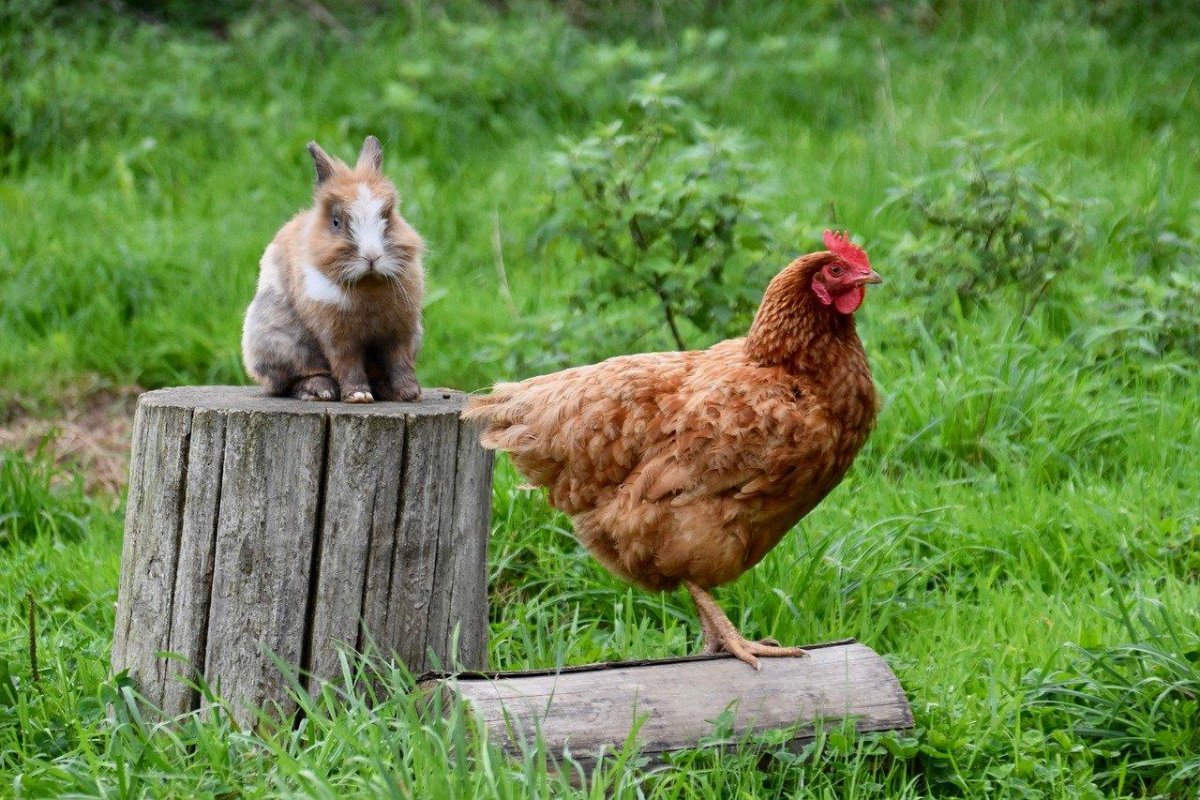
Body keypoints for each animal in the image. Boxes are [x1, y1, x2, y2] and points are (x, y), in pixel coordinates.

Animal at [241, 135, 424, 407]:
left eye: (387, 218)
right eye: (336, 222)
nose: (372, 256)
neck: (368, 282)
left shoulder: (401, 330)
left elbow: (400, 362)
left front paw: (410, 394)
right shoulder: (336, 334)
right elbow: (347, 363)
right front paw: (358, 396)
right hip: (281, 344)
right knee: (292, 380)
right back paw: (320, 391)